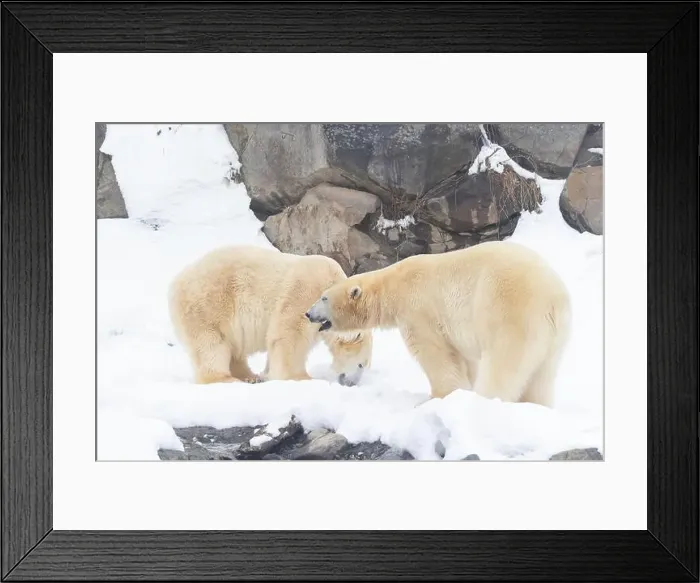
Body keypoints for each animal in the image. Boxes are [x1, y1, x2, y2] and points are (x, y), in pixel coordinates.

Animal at [168, 245, 373, 386]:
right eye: (361, 364)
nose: (351, 383)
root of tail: (176, 282)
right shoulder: (304, 293)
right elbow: (290, 335)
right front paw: (301, 377)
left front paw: (268, 374)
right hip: (208, 303)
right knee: (211, 343)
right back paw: (226, 379)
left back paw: (250, 376)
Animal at [305, 240, 571, 407]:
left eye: (324, 298)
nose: (308, 314)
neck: (394, 285)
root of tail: (554, 299)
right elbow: (465, 360)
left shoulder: (418, 308)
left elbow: (435, 353)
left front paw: (438, 397)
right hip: (553, 338)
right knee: (541, 377)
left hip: (509, 313)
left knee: (503, 365)